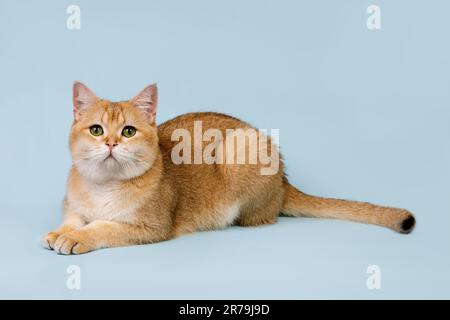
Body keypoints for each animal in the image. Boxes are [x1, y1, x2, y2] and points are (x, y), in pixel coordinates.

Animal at [42, 82, 414, 255]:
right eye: (96, 130)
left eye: (129, 131)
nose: (110, 144)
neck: (102, 187)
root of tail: (284, 180)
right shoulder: (72, 206)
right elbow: (73, 219)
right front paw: (60, 233)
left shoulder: (150, 226)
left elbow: (102, 227)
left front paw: (76, 238)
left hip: (242, 148)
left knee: (262, 217)